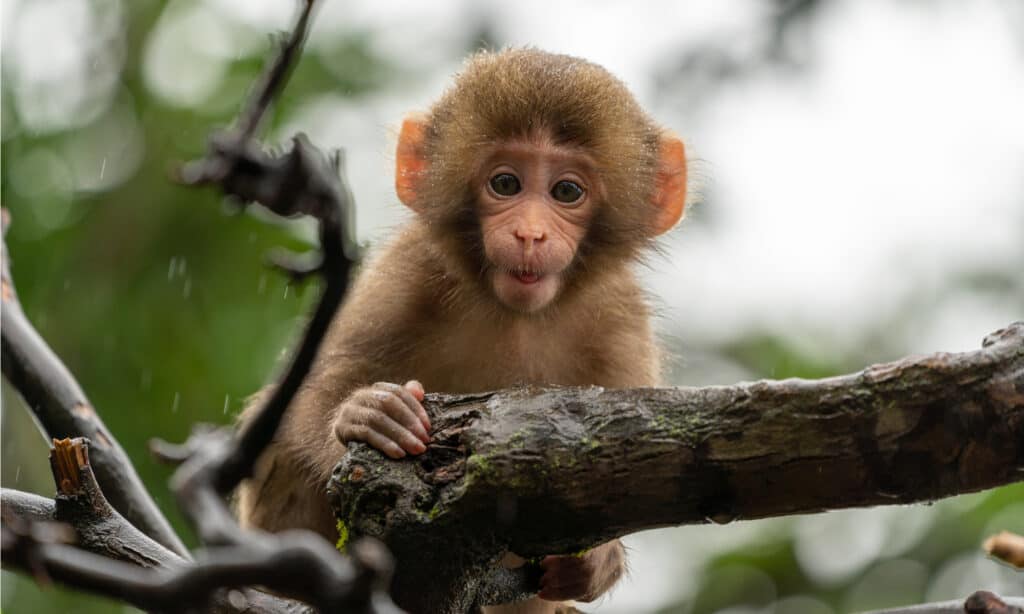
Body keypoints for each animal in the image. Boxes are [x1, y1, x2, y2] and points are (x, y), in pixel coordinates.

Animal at [236, 48, 687, 613]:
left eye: (567, 191)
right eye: (505, 184)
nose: (530, 234)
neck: (515, 316)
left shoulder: (620, 318)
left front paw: (598, 561)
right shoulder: (408, 270)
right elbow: (311, 390)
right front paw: (369, 415)